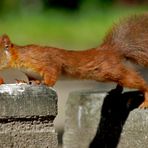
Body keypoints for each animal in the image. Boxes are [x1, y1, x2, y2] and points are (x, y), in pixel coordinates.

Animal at [0, 13, 148, 107]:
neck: (20, 56)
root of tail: (110, 50)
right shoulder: (31, 72)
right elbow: (31, 79)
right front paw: (25, 81)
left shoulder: (45, 62)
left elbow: (52, 74)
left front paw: (44, 83)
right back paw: (117, 90)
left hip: (109, 70)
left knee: (135, 80)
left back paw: (145, 99)